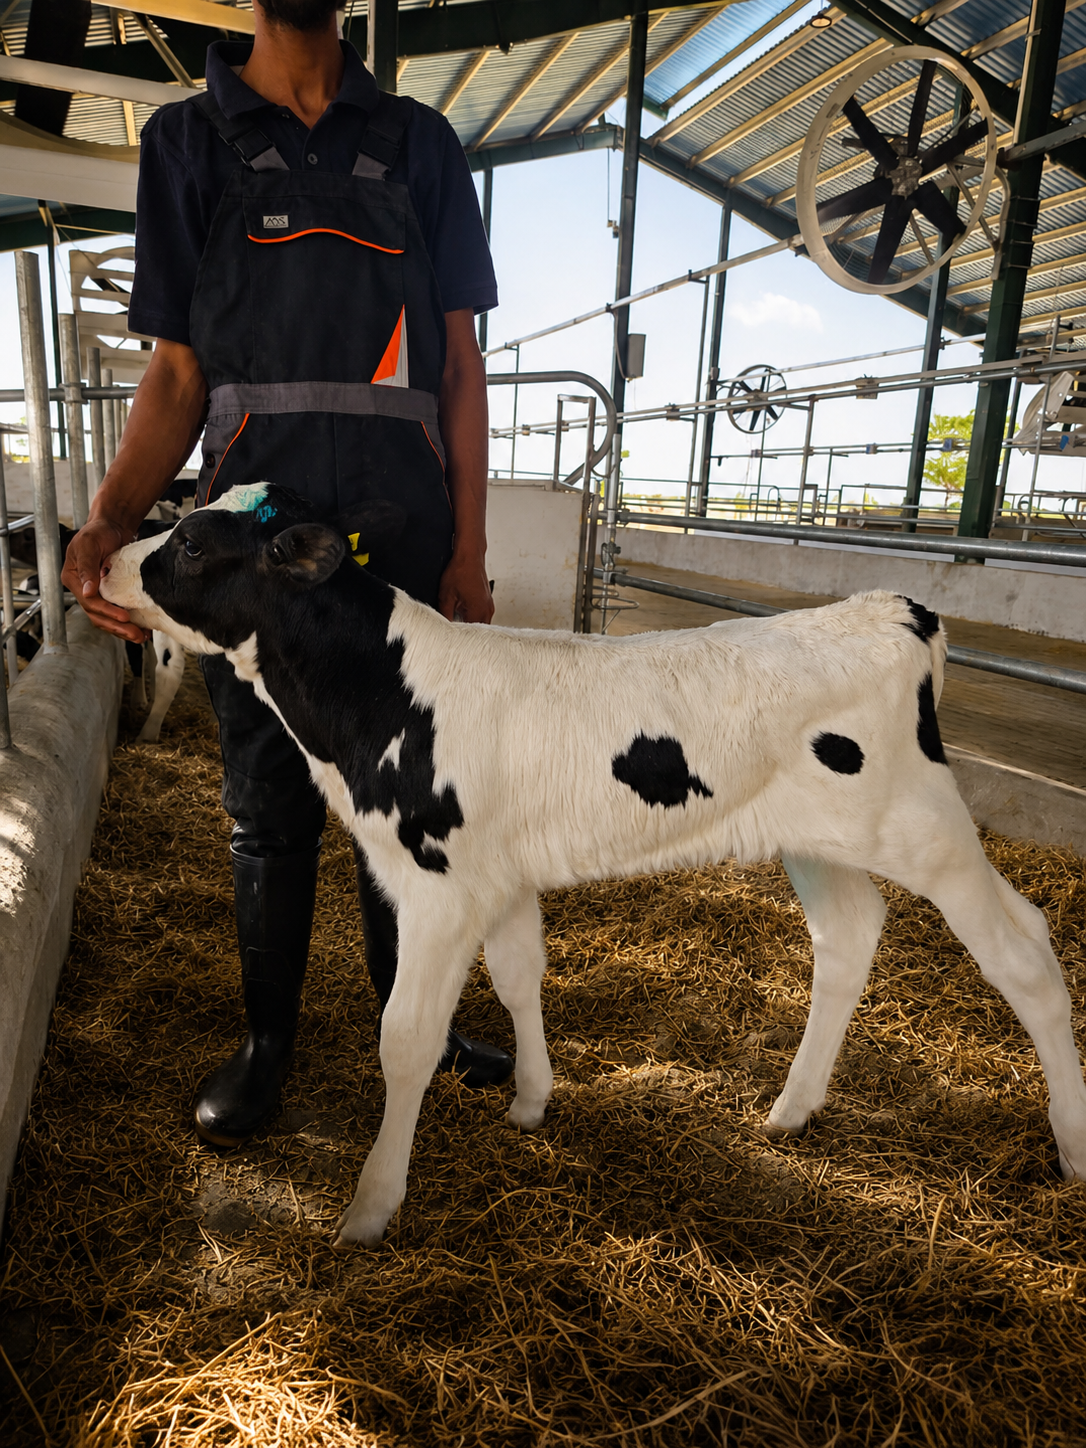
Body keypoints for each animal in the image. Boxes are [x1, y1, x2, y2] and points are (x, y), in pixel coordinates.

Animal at [100, 482, 1086, 1248]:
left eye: (190, 542)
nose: (104, 564)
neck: (381, 693)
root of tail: (892, 607)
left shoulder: (437, 884)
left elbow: (407, 1038)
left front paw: (372, 1206)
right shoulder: (496, 877)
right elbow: (518, 975)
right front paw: (532, 1101)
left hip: (926, 829)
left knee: (1027, 951)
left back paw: (1073, 1146)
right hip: (815, 838)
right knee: (849, 935)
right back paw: (792, 1108)